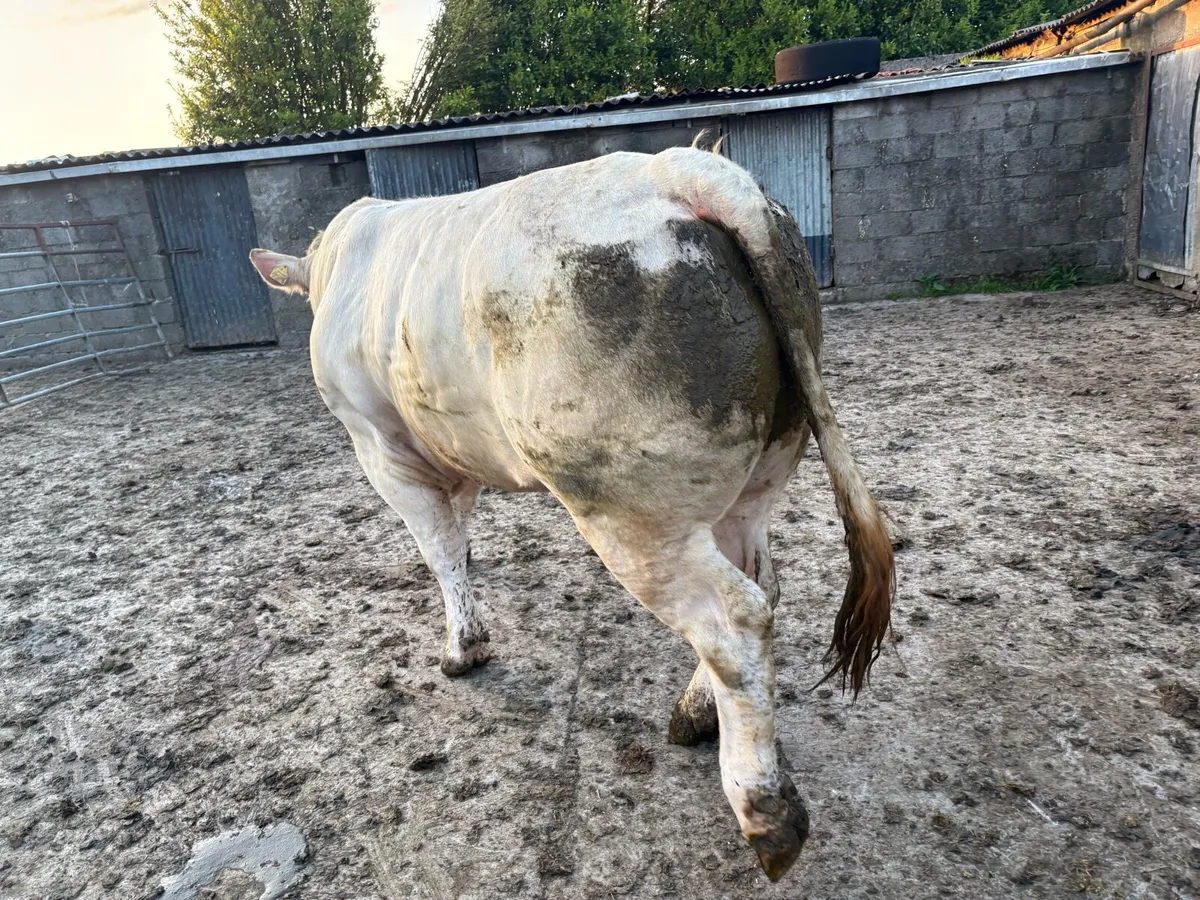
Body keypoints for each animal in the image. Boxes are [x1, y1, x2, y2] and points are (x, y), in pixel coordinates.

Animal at [249, 146, 894, 882]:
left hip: (626, 505)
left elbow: (439, 546)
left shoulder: (380, 446)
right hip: (756, 472)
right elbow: (459, 529)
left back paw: (765, 812)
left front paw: (462, 648)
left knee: (735, 619)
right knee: (762, 582)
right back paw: (694, 716)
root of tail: (681, 168)